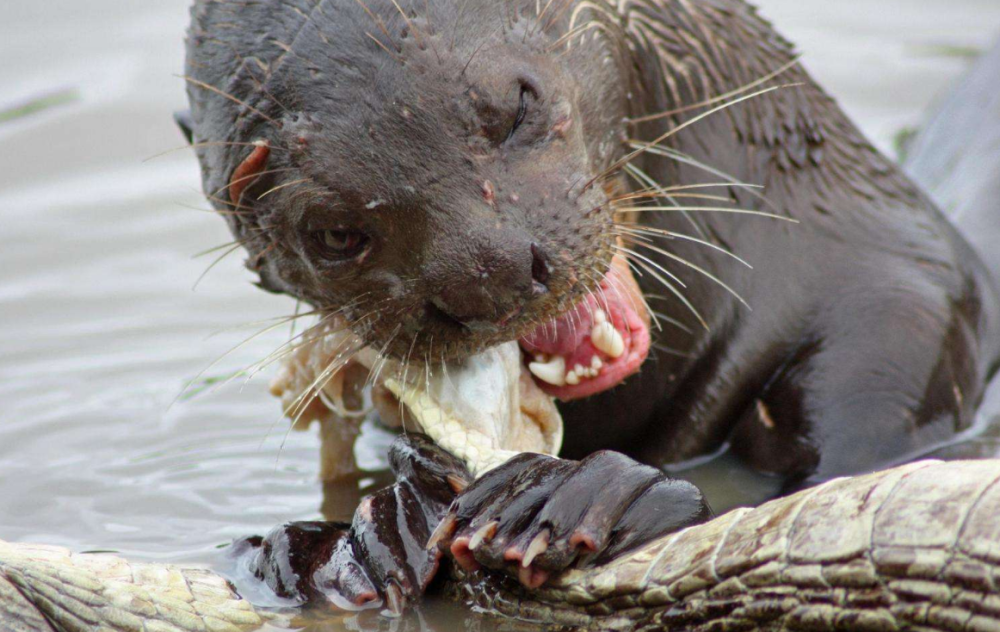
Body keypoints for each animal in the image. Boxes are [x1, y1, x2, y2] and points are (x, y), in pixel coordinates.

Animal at [180, 0, 1000, 612]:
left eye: (515, 104)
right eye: (334, 234)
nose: (486, 273)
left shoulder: (902, 328)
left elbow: (821, 503)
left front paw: (587, 494)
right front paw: (354, 533)